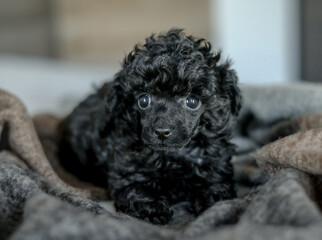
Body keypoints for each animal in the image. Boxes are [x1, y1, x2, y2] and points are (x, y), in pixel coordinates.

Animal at [59, 28, 242, 225]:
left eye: (192, 102)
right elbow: (135, 188)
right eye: (144, 100)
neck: (173, 156)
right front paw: (152, 207)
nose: (162, 132)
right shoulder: (127, 166)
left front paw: (213, 198)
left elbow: (215, 182)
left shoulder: (214, 158)